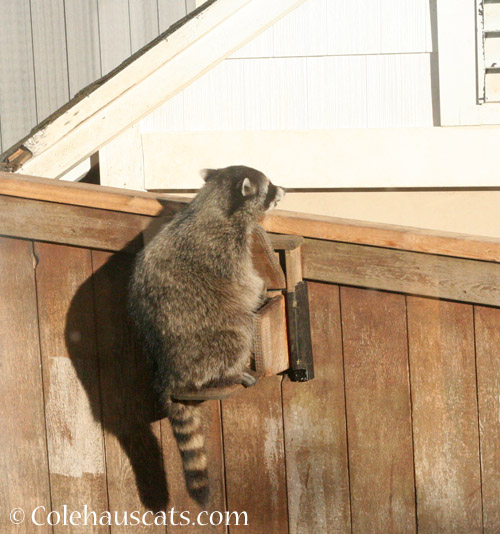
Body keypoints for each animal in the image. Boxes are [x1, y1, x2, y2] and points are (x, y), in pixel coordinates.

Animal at [128, 166, 286, 506]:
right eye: (268, 187)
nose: (284, 189)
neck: (212, 203)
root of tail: (168, 373)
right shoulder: (224, 250)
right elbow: (244, 283)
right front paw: (259, 289)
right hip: (210, 336)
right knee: (237, 331)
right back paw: (226, 373)